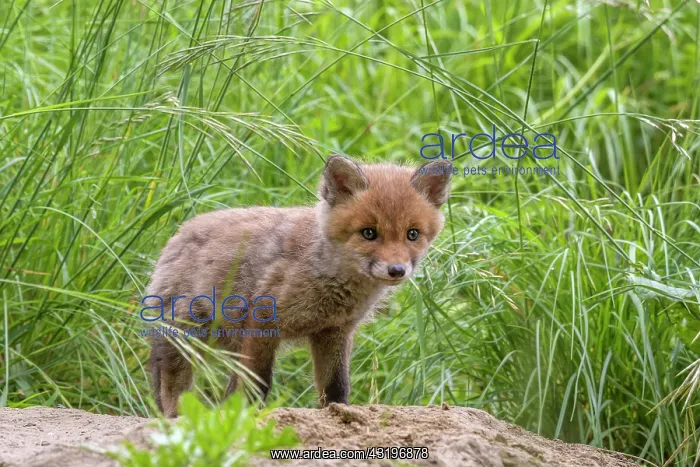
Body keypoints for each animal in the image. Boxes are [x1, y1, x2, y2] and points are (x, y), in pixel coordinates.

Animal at [147, 154, 451, 417]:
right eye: (368, 233)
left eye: (412, 234)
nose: (396, 270)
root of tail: (179, 234)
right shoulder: (263, 324)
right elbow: (257, 384)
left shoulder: (333, 332)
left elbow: (336, 387)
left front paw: (340, 415)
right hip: (185, 338)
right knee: (171, 387)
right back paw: (174, 418)